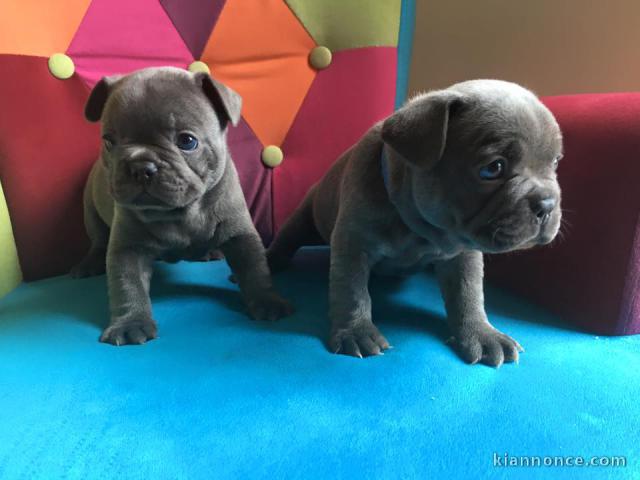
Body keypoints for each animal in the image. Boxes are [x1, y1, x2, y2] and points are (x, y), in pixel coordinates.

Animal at [74, 66, 294, 344]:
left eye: (187, 141)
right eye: (109, 142)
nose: (140, 166)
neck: (180, 211)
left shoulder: (240, 234)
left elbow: (255, 269)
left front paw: (267, 302)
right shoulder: (128, 247)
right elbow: (127, 285)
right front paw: (130, 323)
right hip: (90, 211)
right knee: (98, 240)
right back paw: (89, 264)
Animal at [268, 79, 564, 368]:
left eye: (555, 163)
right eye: (493, 168)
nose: (548, 203)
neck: (419, 230)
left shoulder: (463, 254)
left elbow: (468, 293)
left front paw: (481, 334)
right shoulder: (352, 244)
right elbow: (352, 290)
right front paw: (356, 332)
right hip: (307, 215)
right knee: (288, 238)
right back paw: (272, 260)